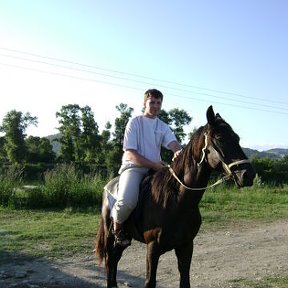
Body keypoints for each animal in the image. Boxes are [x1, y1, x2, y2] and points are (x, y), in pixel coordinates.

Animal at [95, 106, 255, 288]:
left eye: (237, 138)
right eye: (220, 138)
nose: (248, 175)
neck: (178, 201)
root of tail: (109, 187)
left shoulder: (186, 246)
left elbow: (185, 281)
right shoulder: (153, 248)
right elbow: (150, 281)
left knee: (114, 262)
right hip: (111, 238)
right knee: (111, 261)